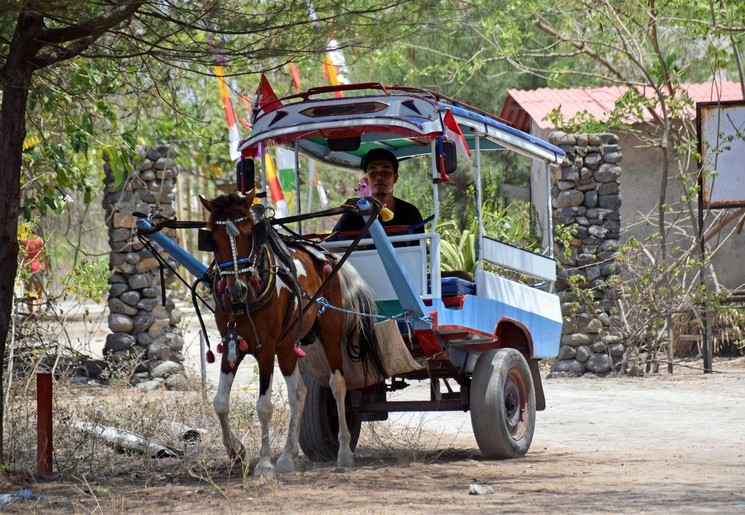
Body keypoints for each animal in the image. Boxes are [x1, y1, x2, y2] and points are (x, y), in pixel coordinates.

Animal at [198, 191, 384, 478]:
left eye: (249, 236)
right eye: (214, 241)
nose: (236, 288)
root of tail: (326, 255)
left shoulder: (265, 349)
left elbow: (263, 407)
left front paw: (264, 464)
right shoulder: (233, 345)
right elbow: (219, 402)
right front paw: (237, 451)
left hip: (328, 332)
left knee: (337, 384)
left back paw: (343, 451)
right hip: (287, 346)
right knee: (298, 393)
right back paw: (287, 456)